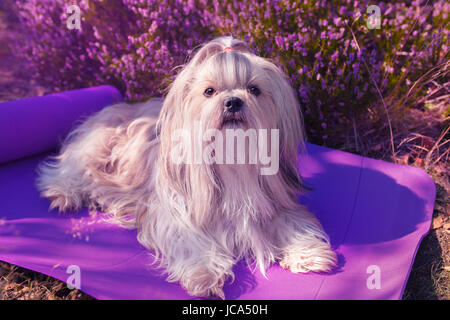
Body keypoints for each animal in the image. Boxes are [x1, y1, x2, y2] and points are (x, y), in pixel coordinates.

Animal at [37, 37, 336, 298]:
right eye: (209, 91)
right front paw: (203, 274)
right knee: (69, 170)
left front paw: (308, 253)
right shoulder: (176, 215)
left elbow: (293, 224)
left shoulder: (277, 203)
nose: (233, 101)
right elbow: (191, 241)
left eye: (254, 89)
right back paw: (64, 193)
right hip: (96, 145)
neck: (233, 162)